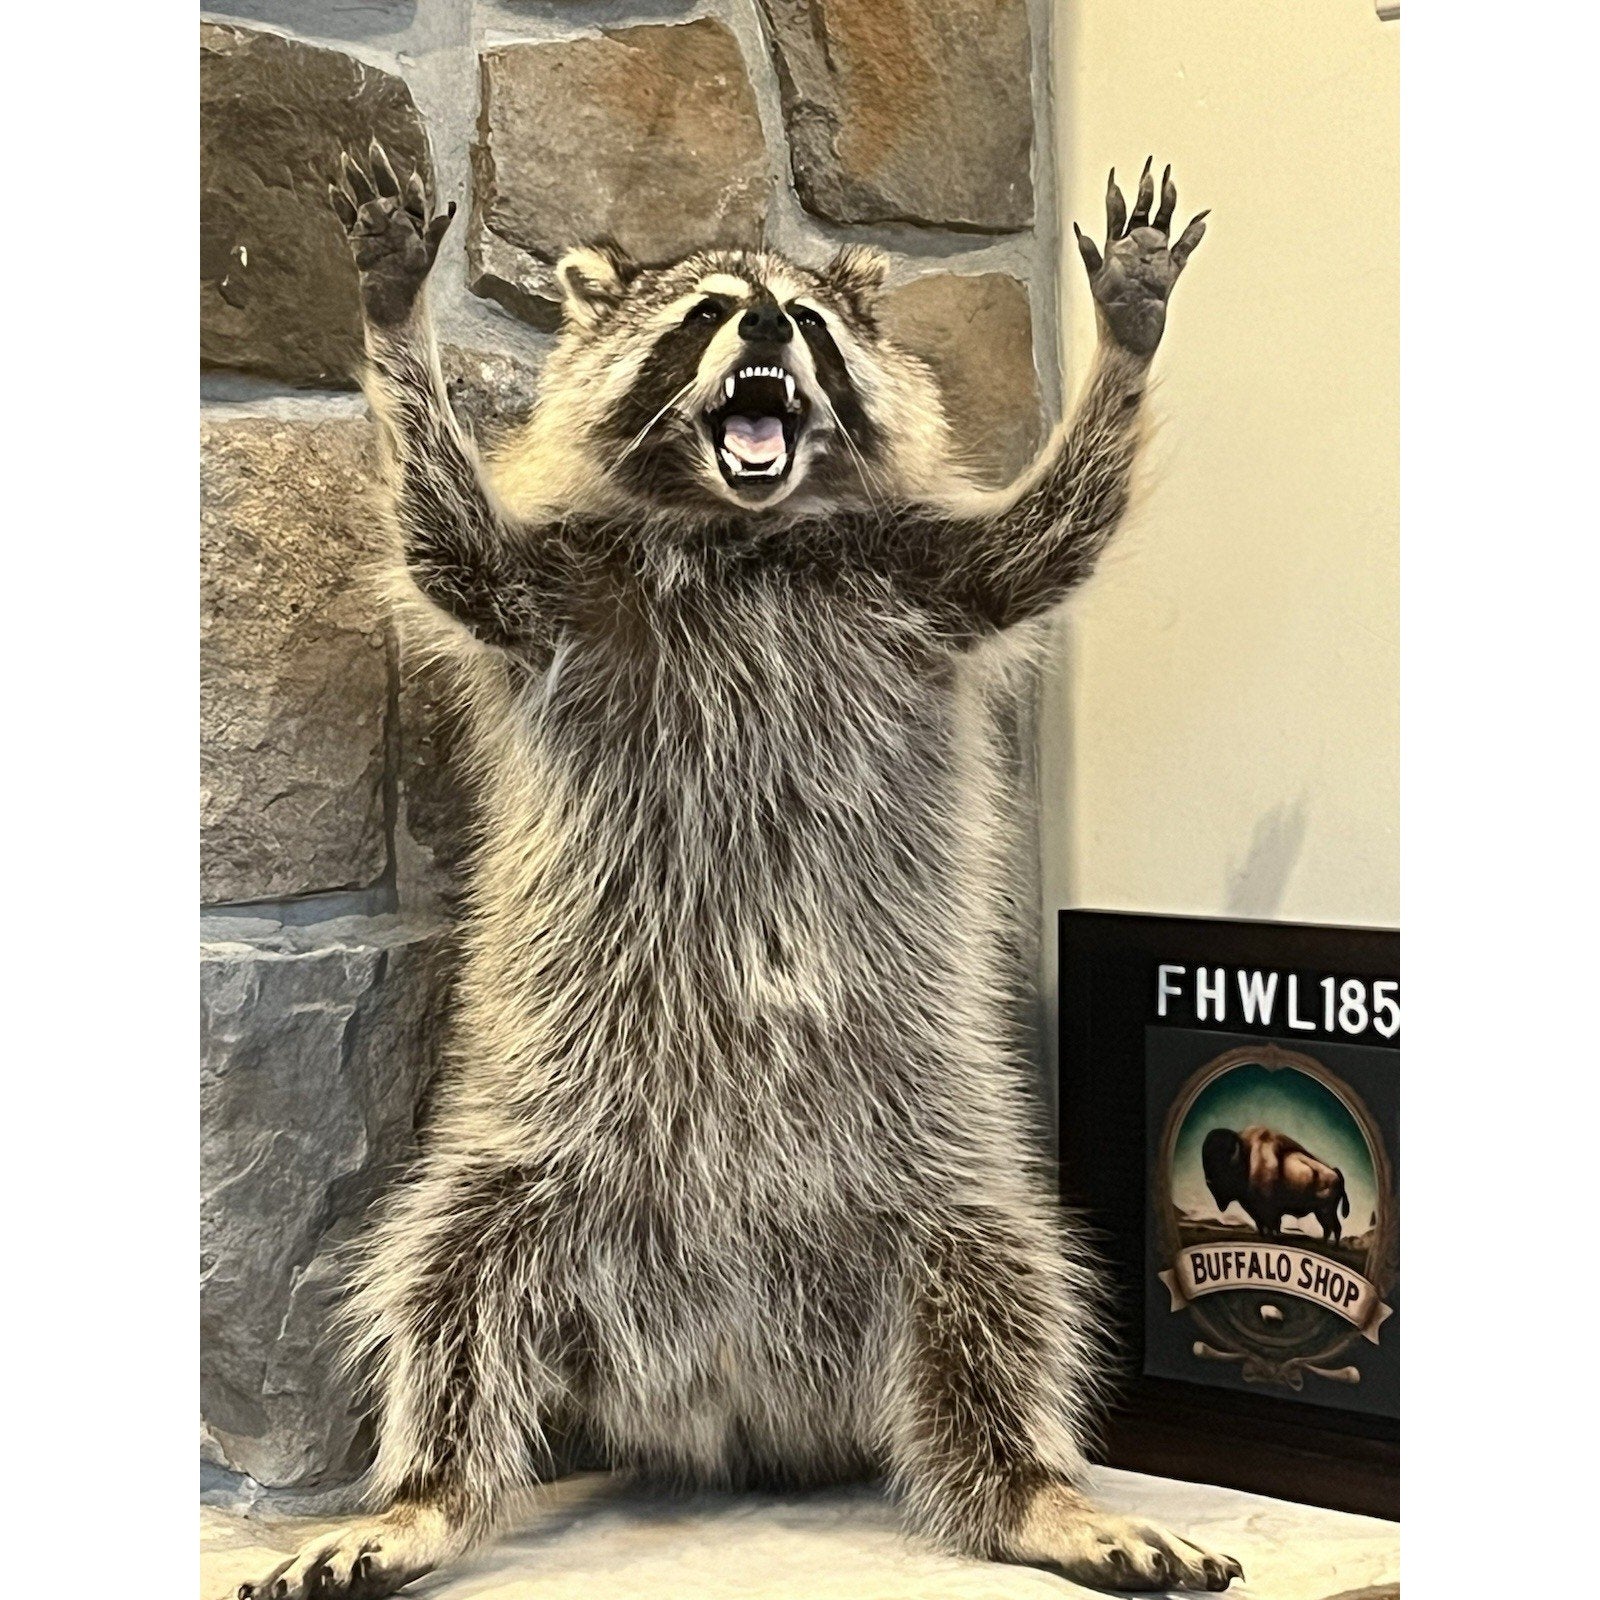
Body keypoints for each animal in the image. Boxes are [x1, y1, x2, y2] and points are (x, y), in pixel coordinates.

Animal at [237, 145, 1233, 1598]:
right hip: (528, 1157)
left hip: (934, 1169)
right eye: (708, 312)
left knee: (1004, 1286)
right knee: (444, 1290)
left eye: (805, 321)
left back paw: (1033, 1492)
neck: (743, 527)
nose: (766, 323)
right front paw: (391, 321)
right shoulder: (558, 591)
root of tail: (726, 1385)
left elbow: (1054, 533)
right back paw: (423, 1495)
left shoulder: (927, 579)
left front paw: (1131, 334)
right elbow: (449, 541)